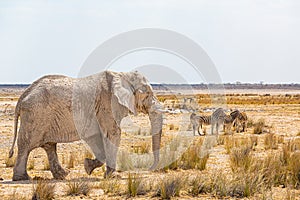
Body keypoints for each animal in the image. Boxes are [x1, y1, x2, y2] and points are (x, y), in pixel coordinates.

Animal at [9, 70, 163, 181]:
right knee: (26, 146)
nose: (148, 169)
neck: (122, 74)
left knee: (49, 145)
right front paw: (110, 176)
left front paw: (88, 167)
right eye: (147, 93)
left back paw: (63, 176)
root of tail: (22, 98)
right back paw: (22, 178)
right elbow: (113, 133)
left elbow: (97, 137)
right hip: (35, 116)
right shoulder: (107, 104)